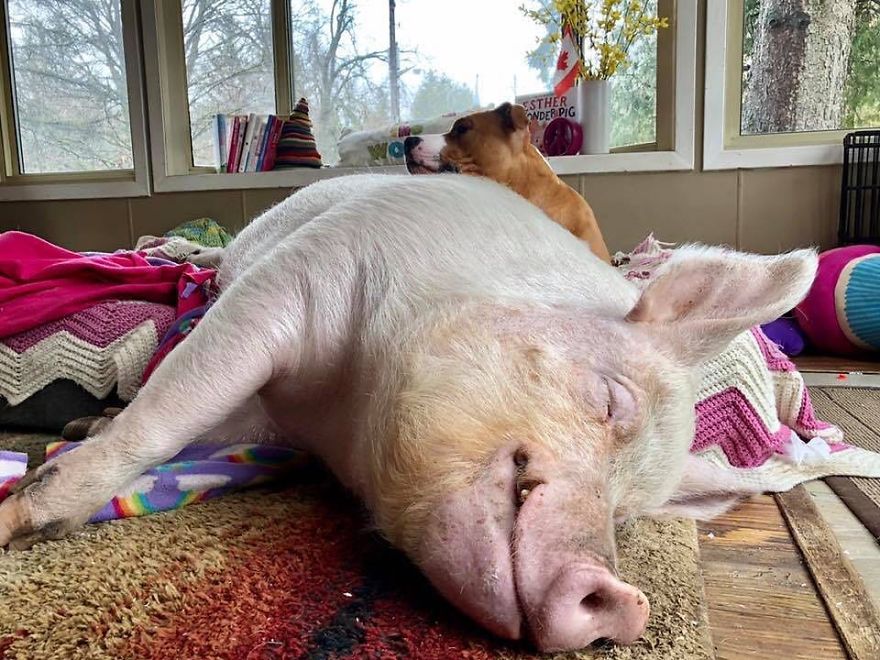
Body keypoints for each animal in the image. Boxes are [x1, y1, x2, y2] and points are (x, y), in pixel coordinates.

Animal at [0, 174, 816, 652]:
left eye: (627, 517)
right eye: (610, 400)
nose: (627, 605)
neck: (338, 420)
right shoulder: (302, 274)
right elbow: (174, 403)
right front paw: (19, 518)